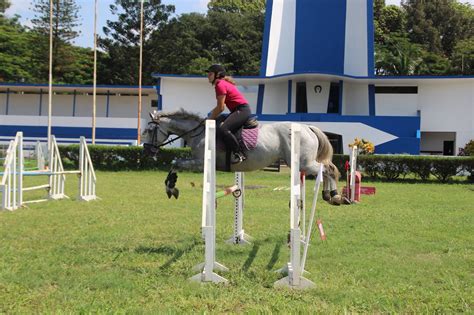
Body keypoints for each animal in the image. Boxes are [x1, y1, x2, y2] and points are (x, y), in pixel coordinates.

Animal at [142, 110, 348, 206]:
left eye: (150, 130)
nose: (147, 151)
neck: (199, 133)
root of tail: (307, 127)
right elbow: (175, 162)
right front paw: (172, 186)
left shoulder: (200, 164)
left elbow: (175, 162)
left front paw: (171, 188)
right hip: (303, 164)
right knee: (327, 169)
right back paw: (330, 195)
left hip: (304, 163)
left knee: (328, 169)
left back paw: (333, 195)